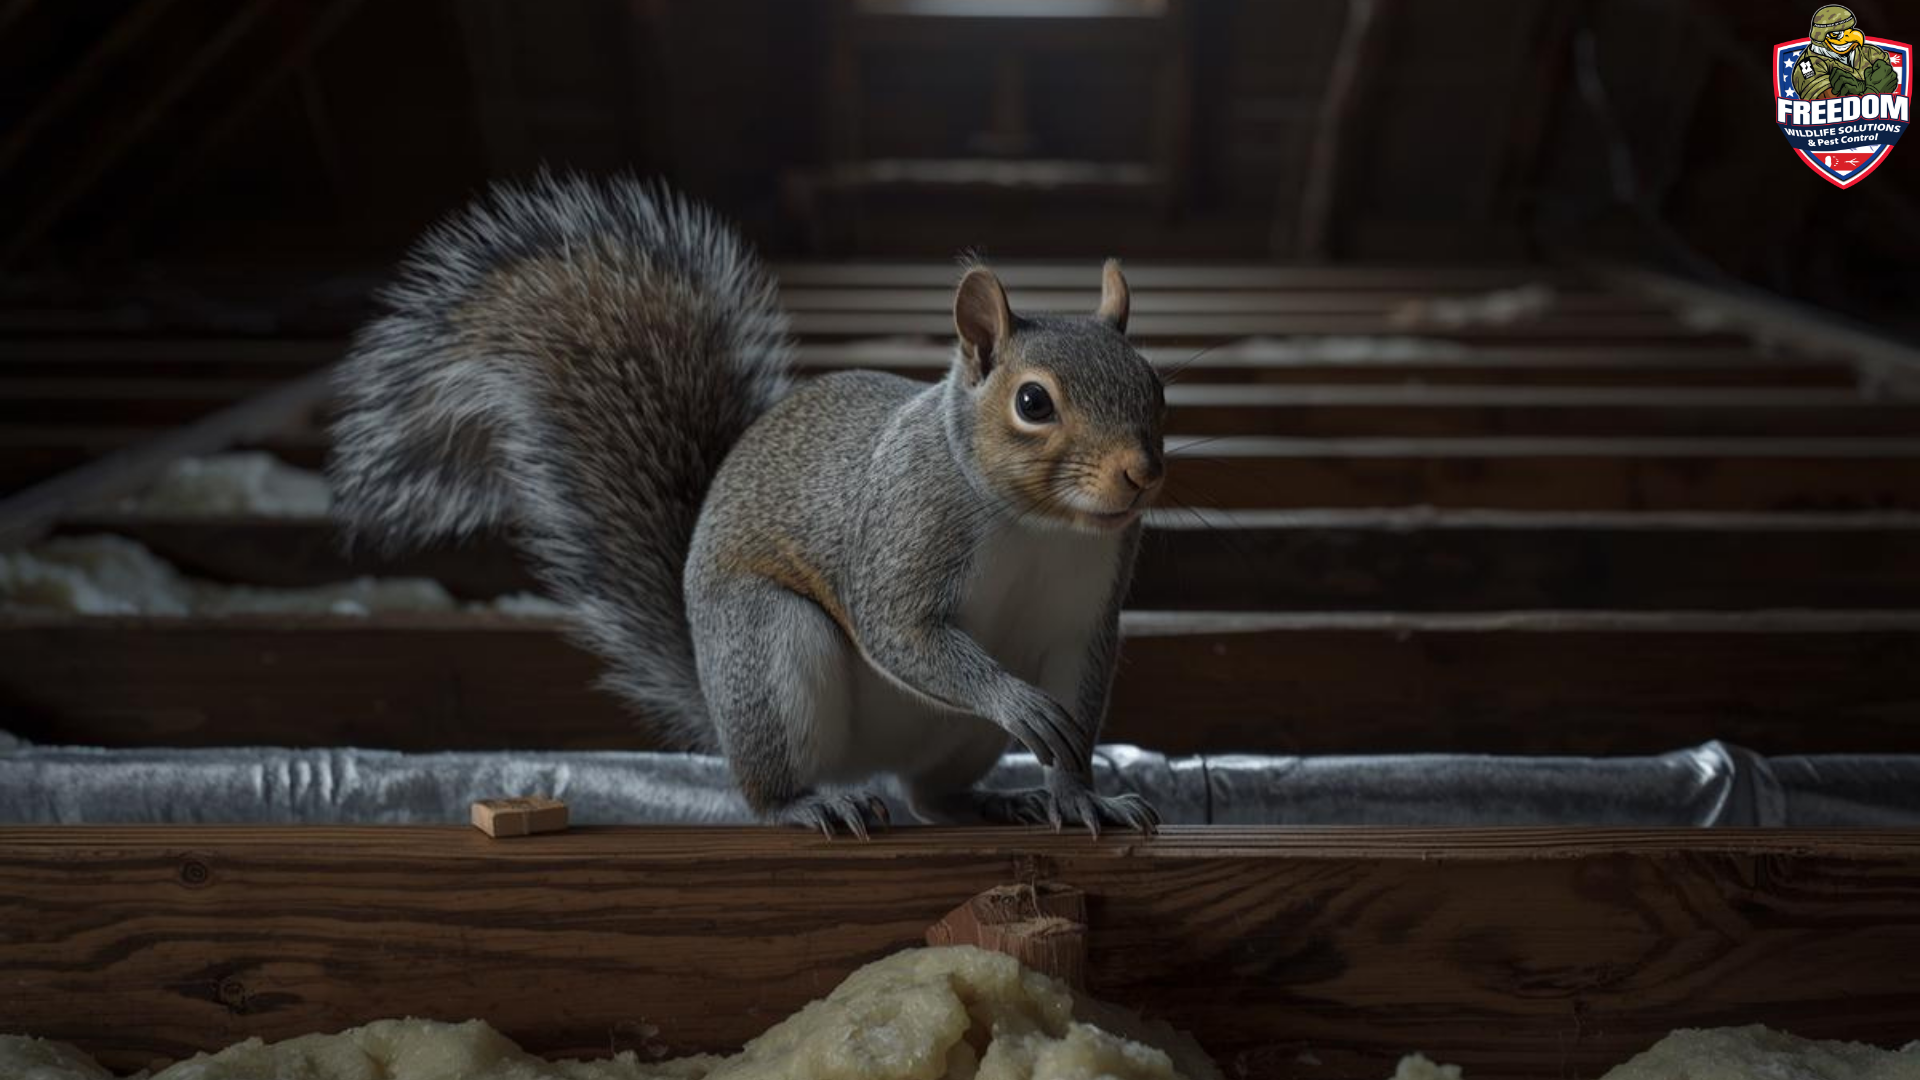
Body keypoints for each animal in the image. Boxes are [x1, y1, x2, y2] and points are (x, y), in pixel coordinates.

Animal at [328, 175, 1166, 837]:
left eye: (1155, 384)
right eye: (1033, 403)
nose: (1141, 474)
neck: (1040, 526)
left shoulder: (1084, 617)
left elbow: (1076, 707)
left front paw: (1079, 795)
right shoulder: (902, 528)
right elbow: (902, 630)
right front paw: (1013, 700)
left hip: (956, 740)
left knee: (929, 796)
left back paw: (994, 801)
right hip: (768, 652)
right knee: (772, 788)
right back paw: (809, 804)